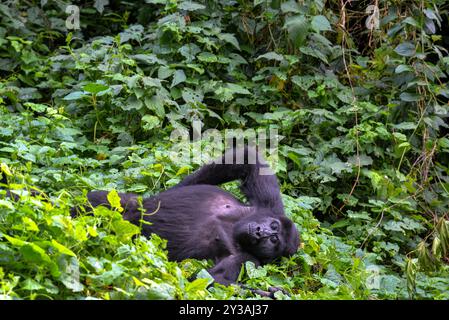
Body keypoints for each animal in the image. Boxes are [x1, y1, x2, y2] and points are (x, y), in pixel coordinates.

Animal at [72, 147, 300, 284]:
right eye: (273, 227)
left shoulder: (249, 262)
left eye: (273, 241)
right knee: (113, 203)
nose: (261, 233)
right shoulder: (267, 205)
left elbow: (206, 281)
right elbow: (248, 160)